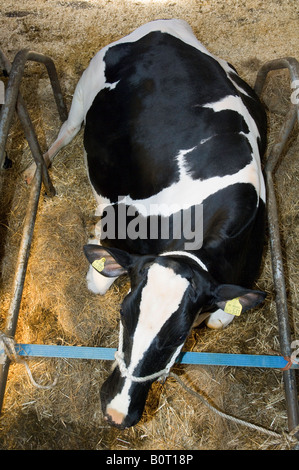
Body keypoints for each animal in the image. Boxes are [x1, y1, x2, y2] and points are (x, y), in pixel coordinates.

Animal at [27, 19, 268, 430]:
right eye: (124, 314)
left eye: (179, 337)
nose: (116, 412)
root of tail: (166, 26)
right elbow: (97, 281)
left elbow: (220, 320)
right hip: (86, 89)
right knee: (68, 128)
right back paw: (34, 167)